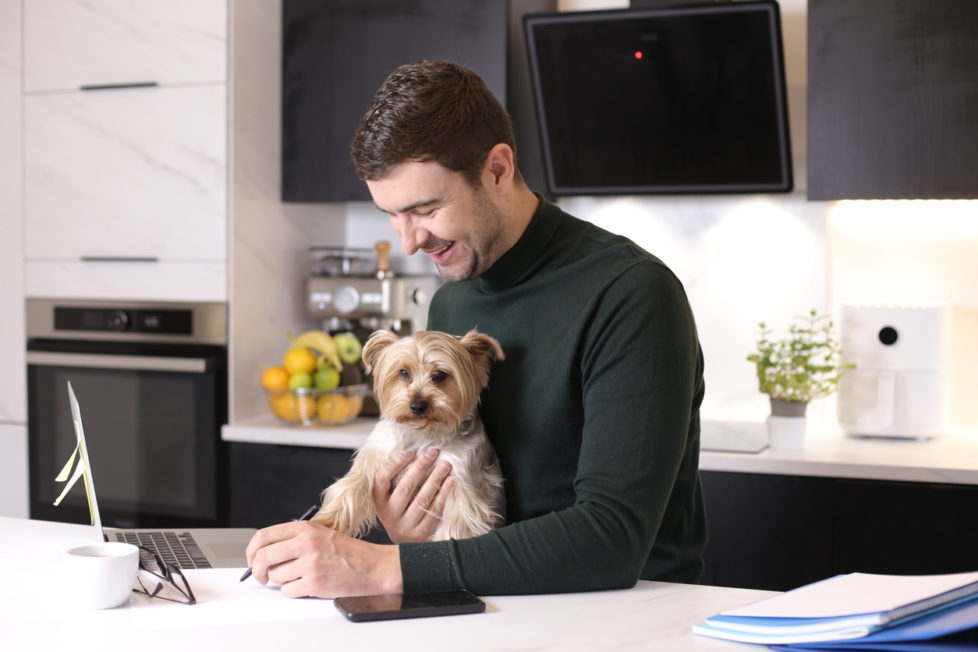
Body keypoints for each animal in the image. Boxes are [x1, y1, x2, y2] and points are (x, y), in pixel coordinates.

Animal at [312, 332, 508, 540]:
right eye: (404, 373)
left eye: (440, 375)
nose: (417, 406)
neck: (422, 434)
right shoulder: (377, 451)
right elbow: (350, 484)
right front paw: (325, 521)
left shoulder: (463, 477)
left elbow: (457, 526)